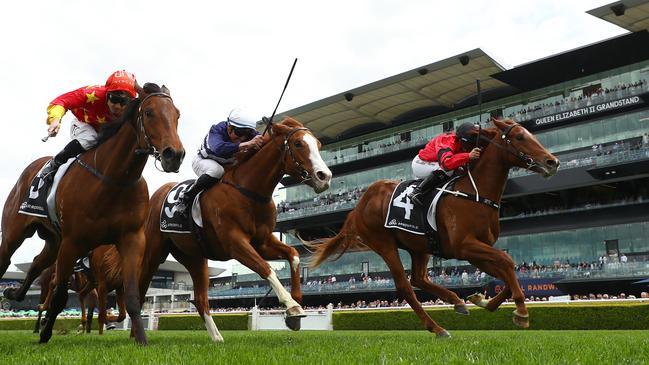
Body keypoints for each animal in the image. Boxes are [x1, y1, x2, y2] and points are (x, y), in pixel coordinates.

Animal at [140, 116, 332, 342]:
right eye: (298, 143)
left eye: (318, 144)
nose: (324, 176)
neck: (248, 191)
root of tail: (158, 193)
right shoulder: (235, 244)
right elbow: (265, 268)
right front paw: (292, 306)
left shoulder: (263, 242)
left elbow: (293, 254)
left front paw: (295, 309)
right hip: (153, 252)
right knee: (138, 286)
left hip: (194, 257)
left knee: (201, 299)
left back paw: (217, 338)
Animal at [308, 118, 556, 336]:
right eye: (519, 137)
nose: (552, 162)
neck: (475, 194)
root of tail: (358, 206)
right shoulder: (464, 246)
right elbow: (507, 262)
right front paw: (521, 312)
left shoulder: (475, 249)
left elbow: (505, 272)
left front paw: (482, 300)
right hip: (384, 244)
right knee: (405, 286)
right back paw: (437, 328)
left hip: (420, 246)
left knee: (418, 279)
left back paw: (456, 301)